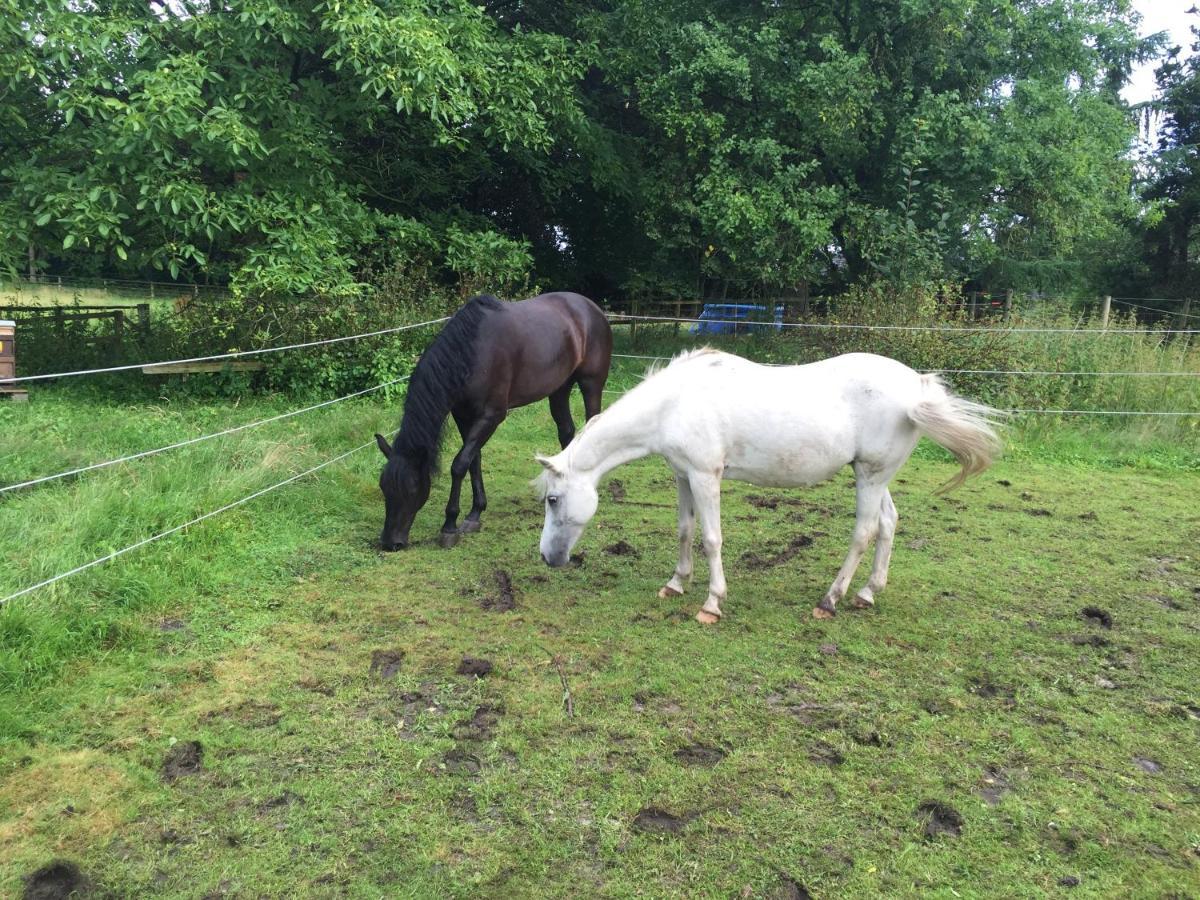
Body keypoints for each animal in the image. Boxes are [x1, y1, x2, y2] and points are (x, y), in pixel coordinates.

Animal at [372, 292, 609, 554]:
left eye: (413, 488)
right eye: (384, 487)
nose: (390, 542)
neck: (472, 354)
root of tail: (591, 307)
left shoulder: (491, 416)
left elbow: (459, 465)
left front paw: (449, 526)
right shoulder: (463, 415)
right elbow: (473, 461)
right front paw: (474, 514)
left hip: (591, 383)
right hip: (559, 388)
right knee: (566, 432)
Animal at [537, 348, 1003, 624]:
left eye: (553, 499)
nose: (547, 558)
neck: (675, 403)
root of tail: (916, 387)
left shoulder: (706, 476)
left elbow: (711, 538)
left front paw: (711, 604)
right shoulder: (683, 475)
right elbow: (685, 531)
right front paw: (676, 583)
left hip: (870, 476)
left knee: (865, 531)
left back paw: (830, 600)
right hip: (873, 474)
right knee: (888, 523)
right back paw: (868, 593)